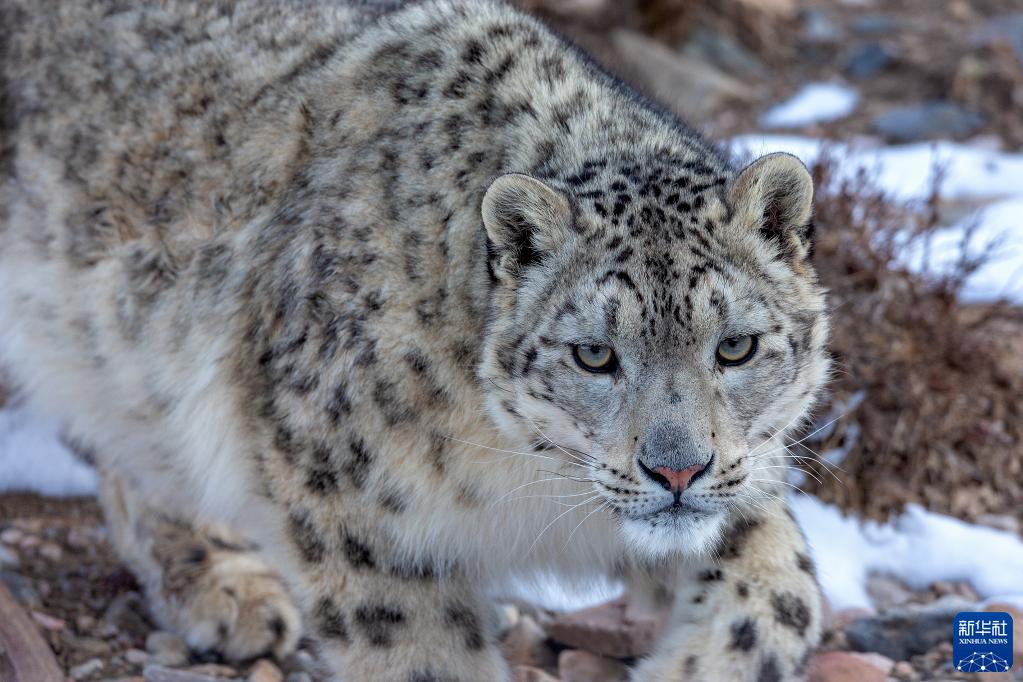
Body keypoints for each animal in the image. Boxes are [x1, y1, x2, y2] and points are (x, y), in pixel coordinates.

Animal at [0, 1, 826, 682]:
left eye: (735, 347)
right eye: (593, 354)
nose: (677, 472)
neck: (522, 480)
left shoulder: (739, 484)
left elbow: (786, 589)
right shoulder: (353, 511)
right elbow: (418, 652)